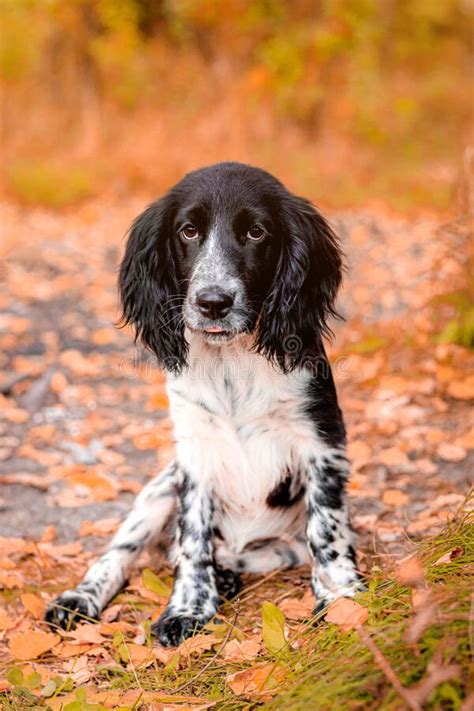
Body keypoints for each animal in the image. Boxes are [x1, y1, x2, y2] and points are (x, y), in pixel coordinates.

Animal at [45, 163, 362, 652]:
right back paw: (80, 598)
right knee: (121, 552)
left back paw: (229, 575)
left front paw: (342, 598)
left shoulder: (321, 443)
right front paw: (188, 609)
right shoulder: (194, 452)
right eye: (188, 231)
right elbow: (193, 539)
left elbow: (326, 529)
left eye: (256, 232)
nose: (213, 302)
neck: (232, 362)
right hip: (159, 489)